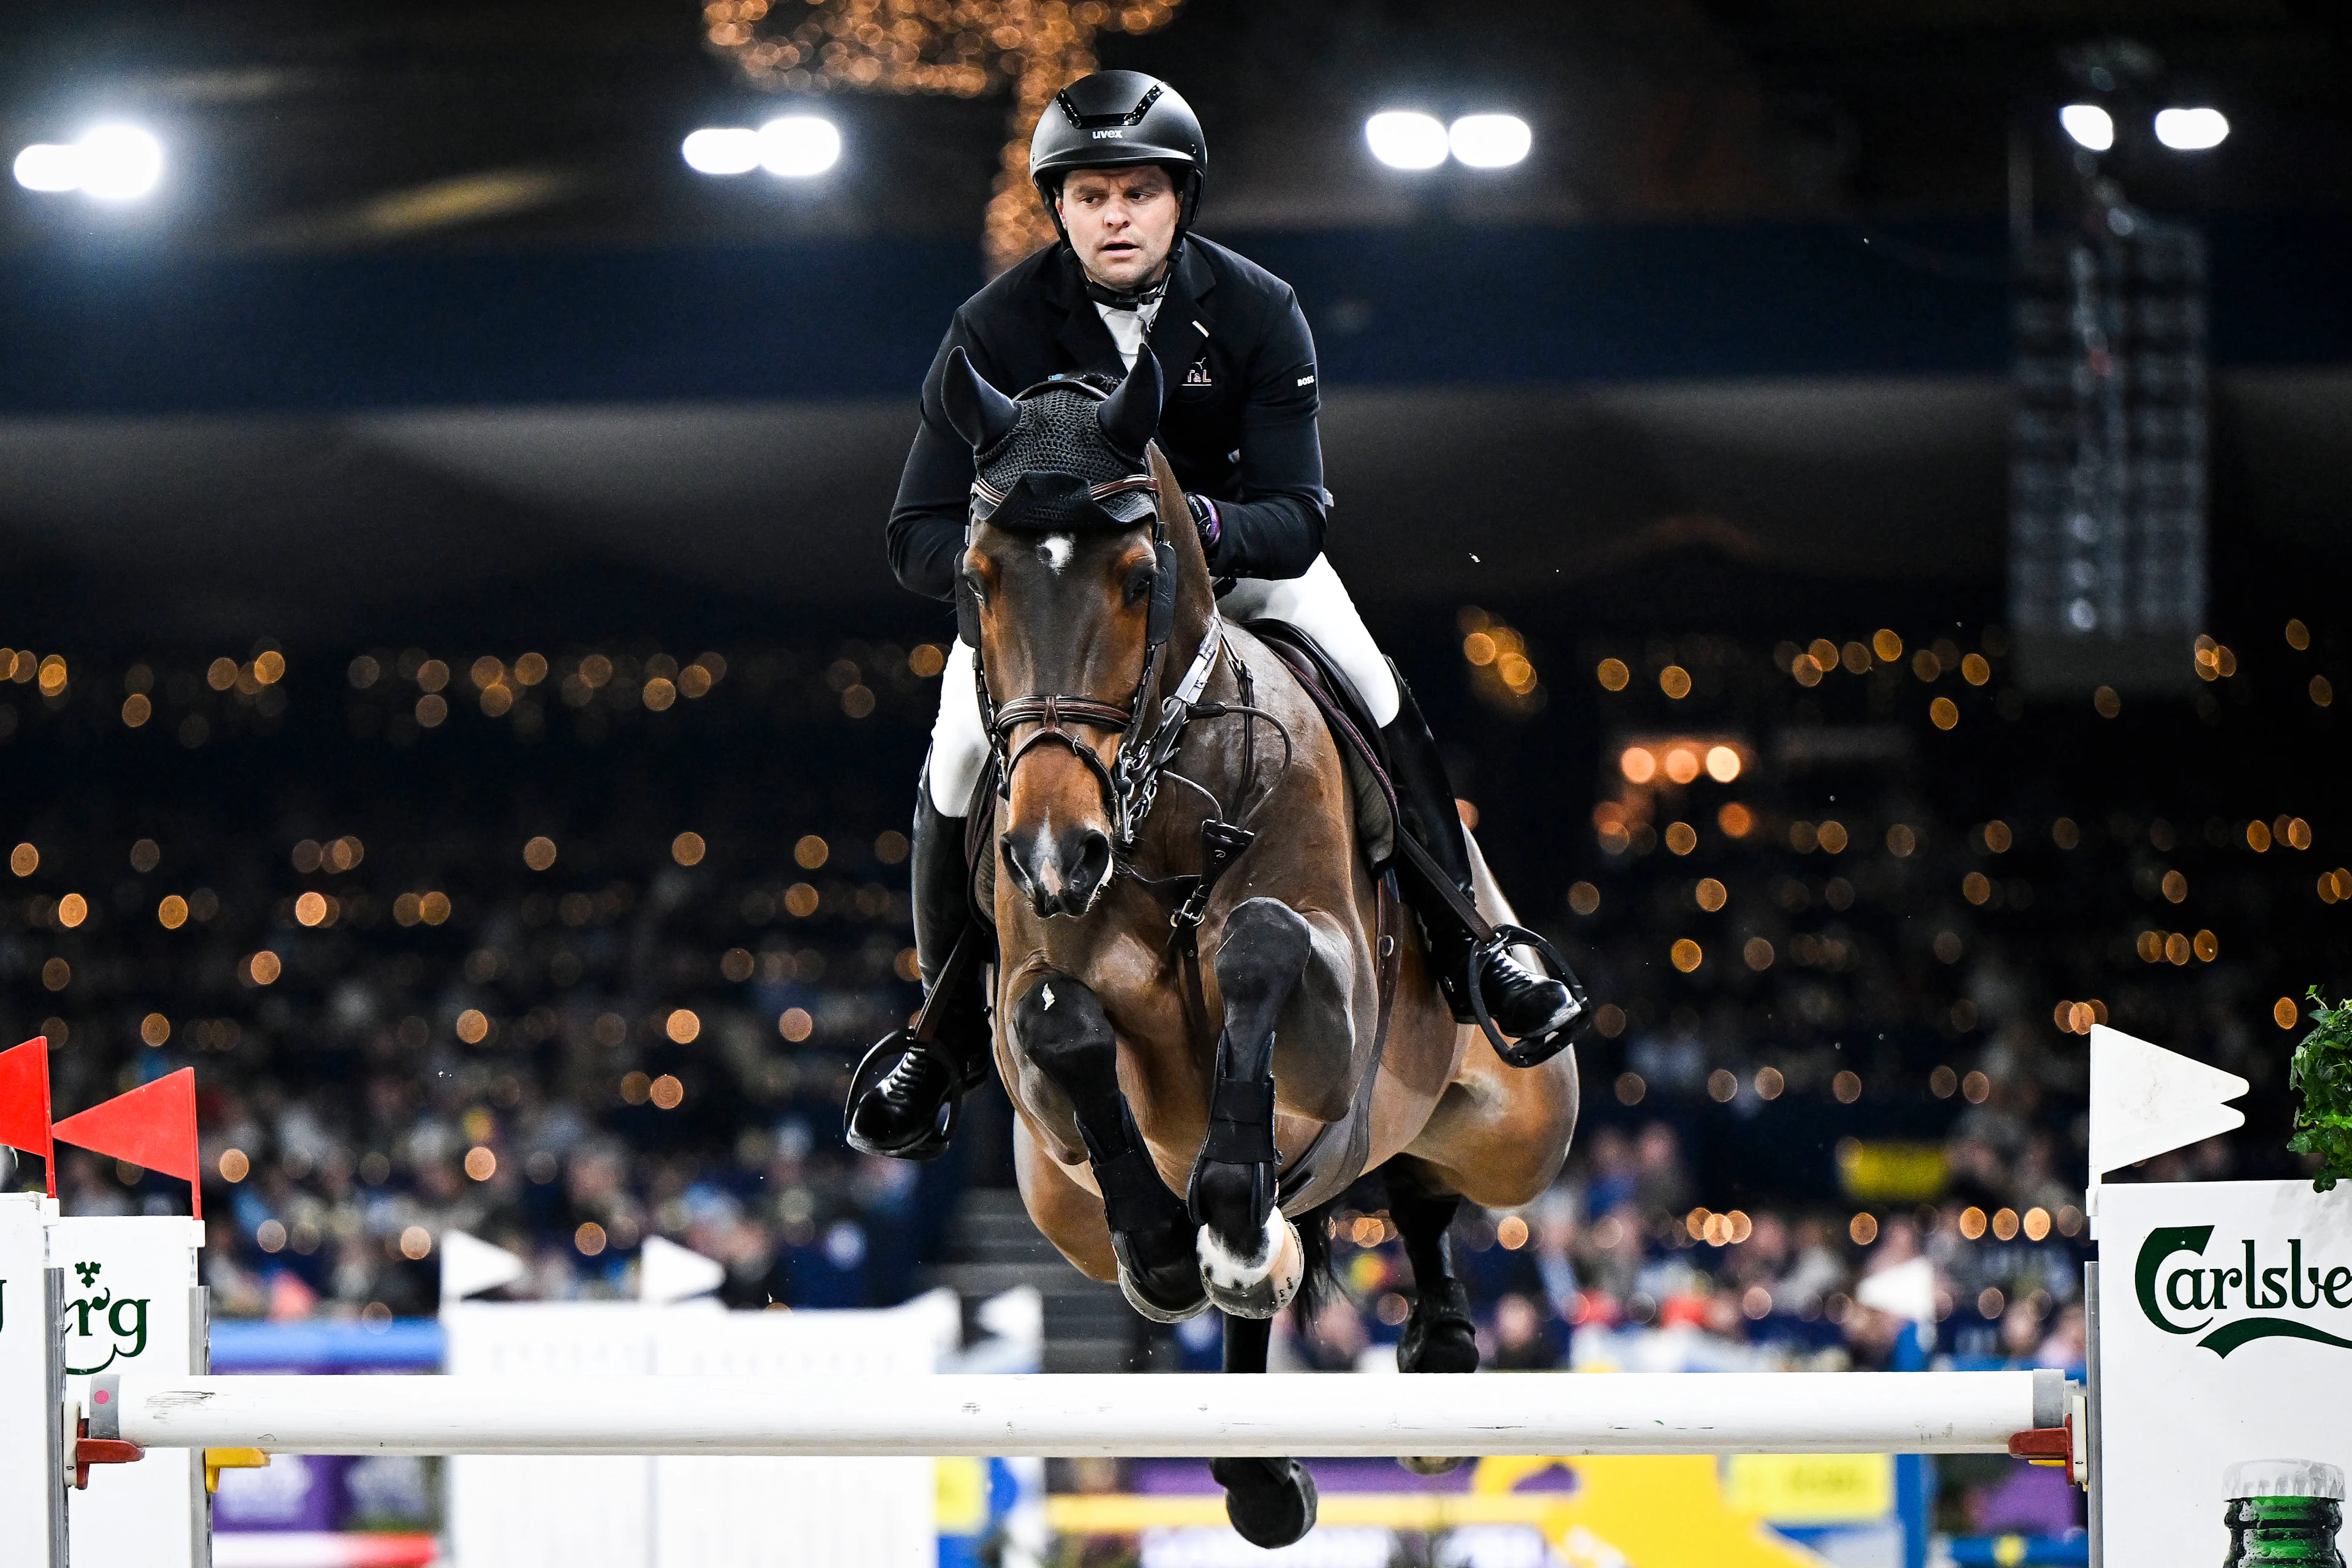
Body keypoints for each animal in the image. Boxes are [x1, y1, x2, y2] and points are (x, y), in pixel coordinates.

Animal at [936, 352, 1580, 1542]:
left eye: (1139, 577)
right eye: (976, 578)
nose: (1054, 855)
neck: (1161, 807)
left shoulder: (1329, 1005)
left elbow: (1262, 947)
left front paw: (1228, 1214)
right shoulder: (1031, 1037)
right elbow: (1060, 1025)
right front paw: (1162, 1248)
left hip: (1518, 1132)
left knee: (1416, 1177)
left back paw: (1428, 1351)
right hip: (1062, 1212)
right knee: (1267, 1254)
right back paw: (1257, 1452)